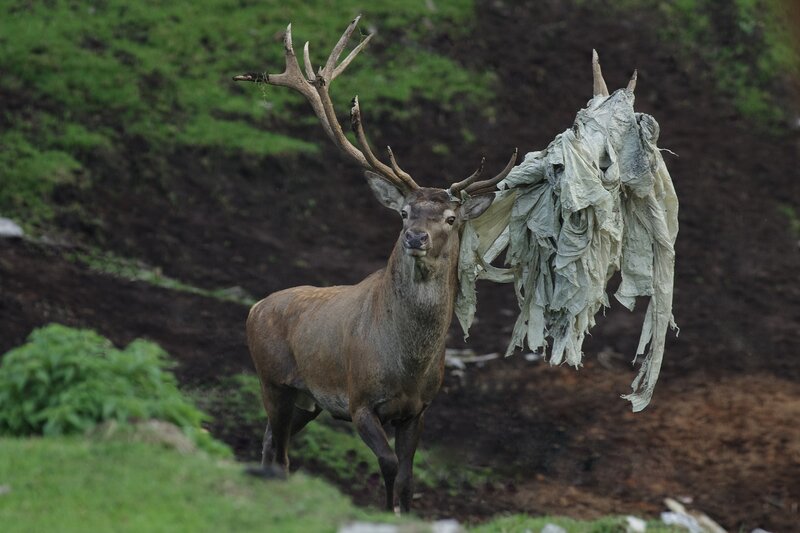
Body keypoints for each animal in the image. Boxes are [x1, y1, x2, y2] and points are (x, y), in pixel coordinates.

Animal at [235, 16, 516, 513]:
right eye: (403, 212)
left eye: (451, 218)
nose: (416, 237)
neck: (406, 365)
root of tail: (254, 307)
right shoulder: (358, 399)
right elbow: (386, 466)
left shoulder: (418, 410)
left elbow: (406, 476)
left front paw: (403, 509)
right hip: (273, 380)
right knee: (280, 450)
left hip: (306, 401)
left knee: (270, 442)